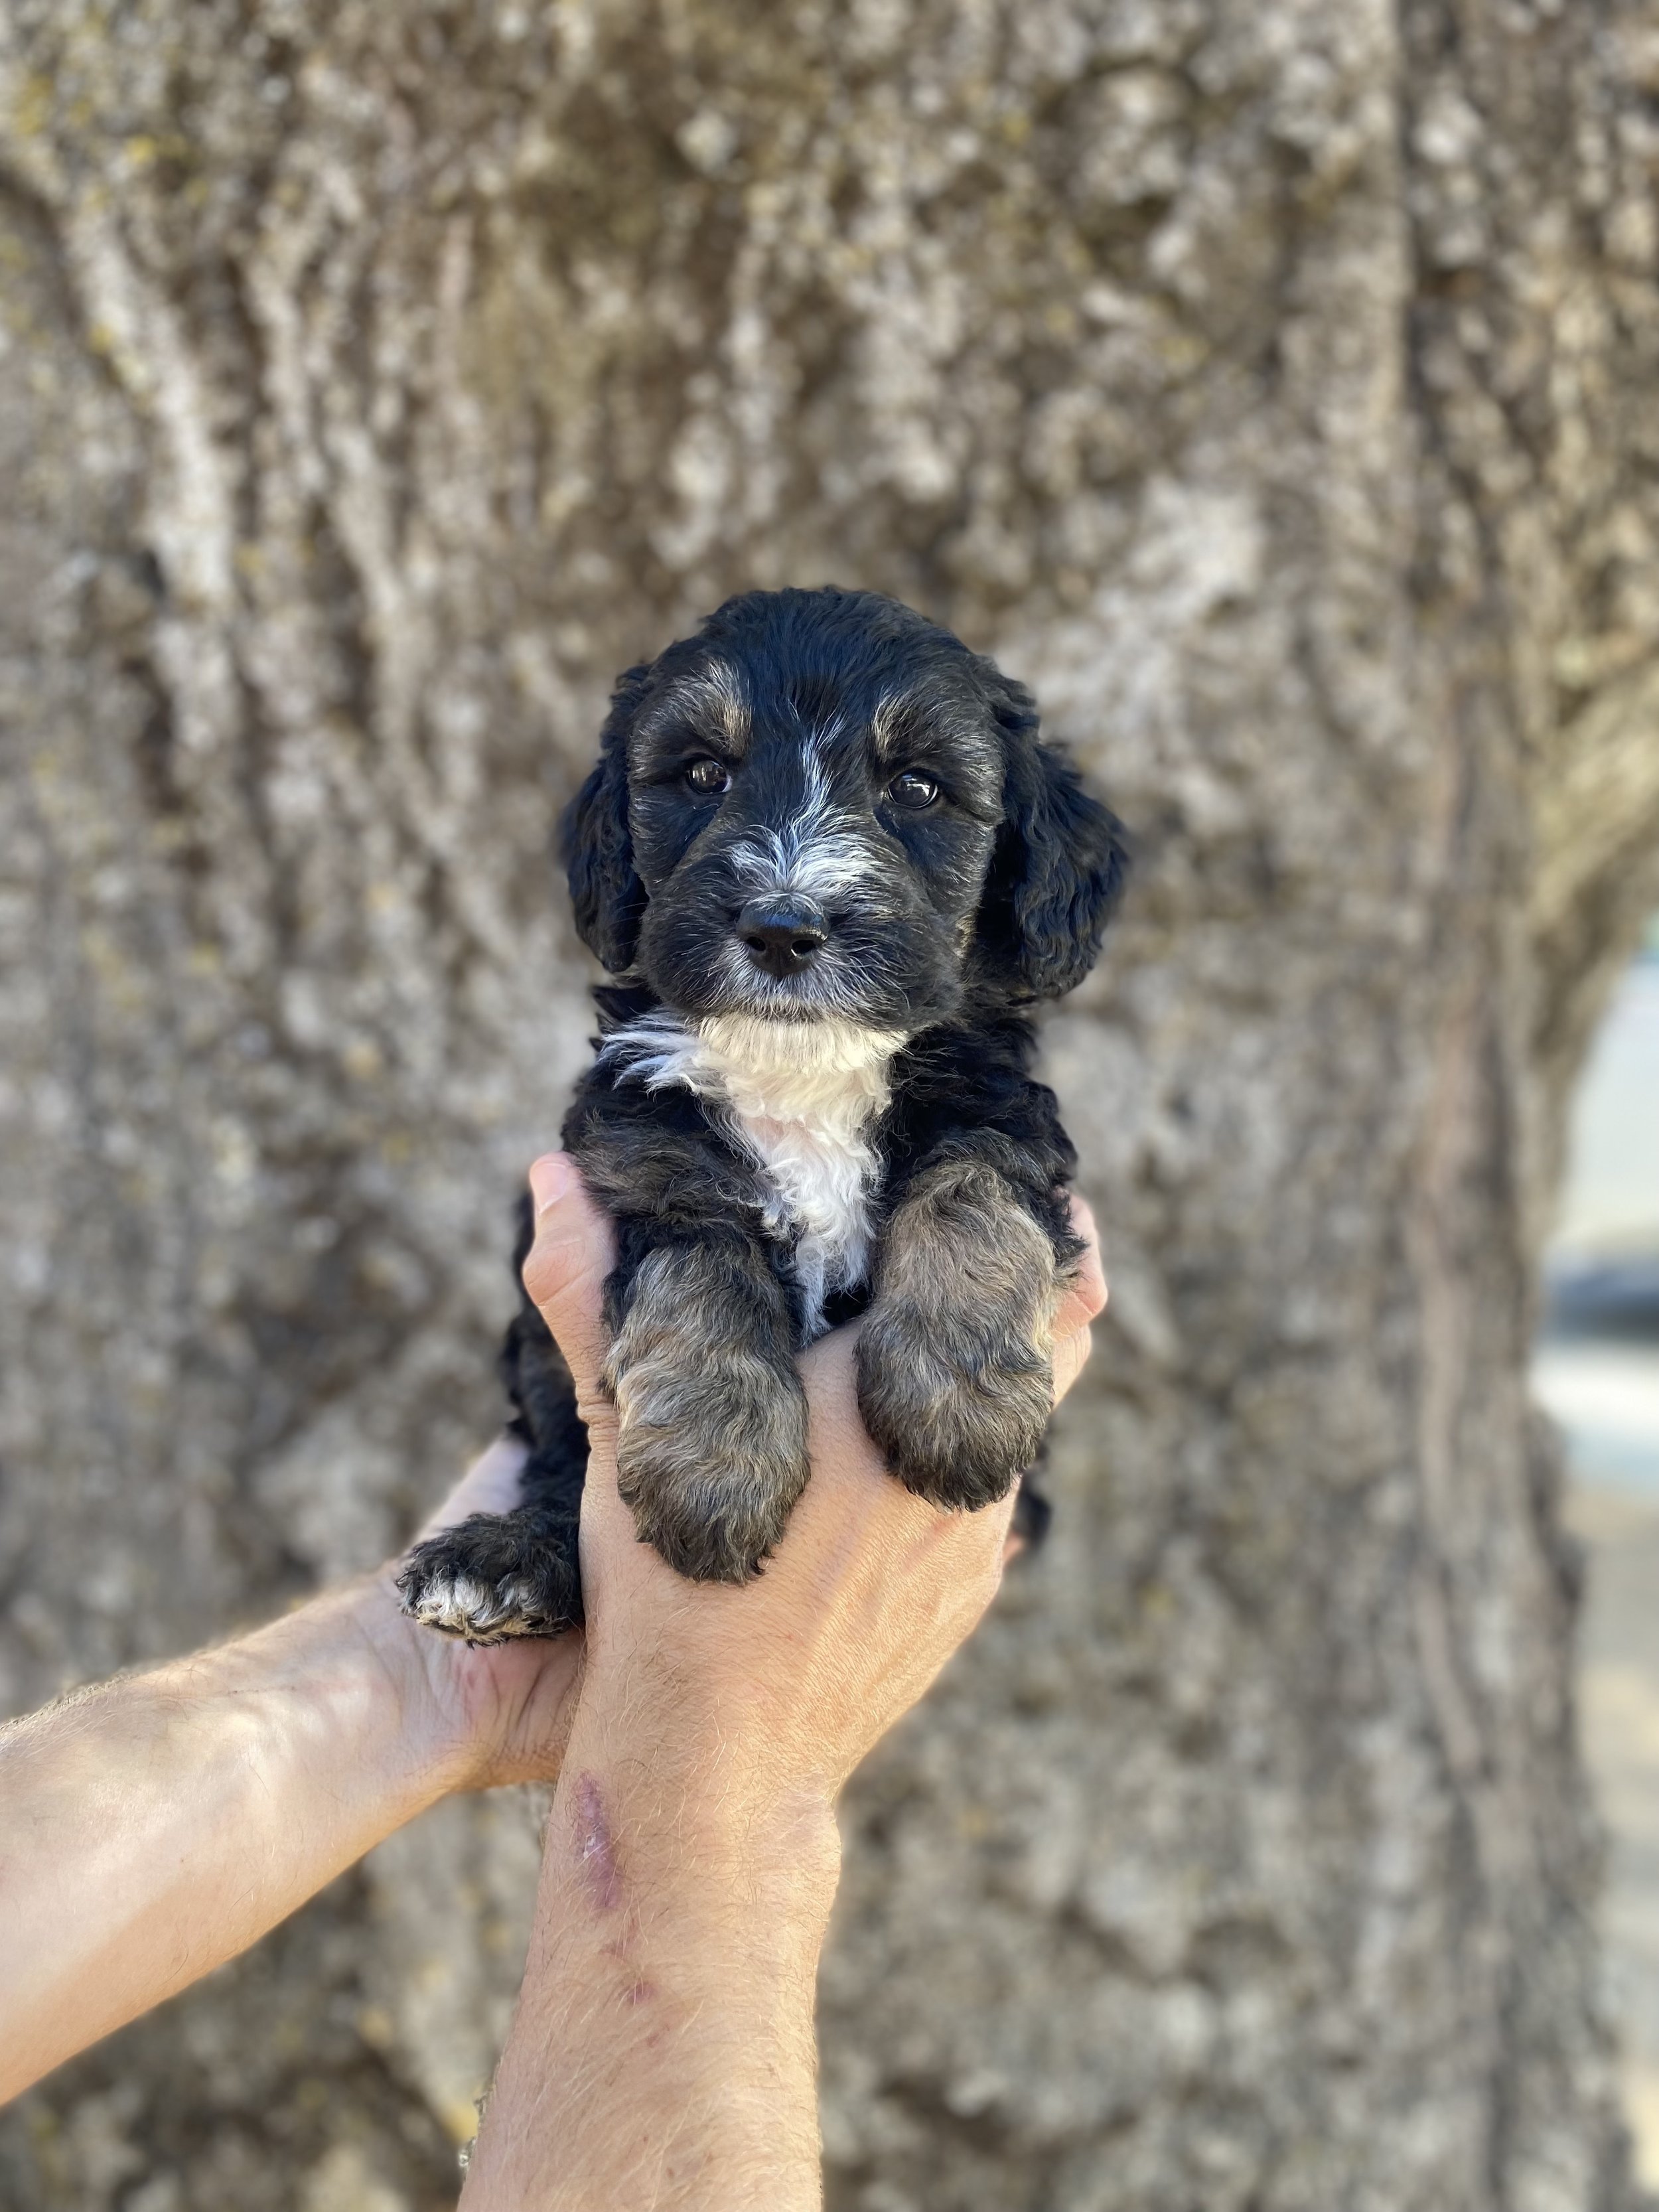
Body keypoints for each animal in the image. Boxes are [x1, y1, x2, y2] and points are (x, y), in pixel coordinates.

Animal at [400, 588, 1132, 1645]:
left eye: (918, 789)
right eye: (704, 774)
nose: (785, 926)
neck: (804, 1072)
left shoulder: (1004, 1112)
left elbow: (972, 1192)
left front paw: (960, 1402)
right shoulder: (639, 1151)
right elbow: (700, 1267)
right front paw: (713, 1473)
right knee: (558, 1463)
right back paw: (505, 1562)